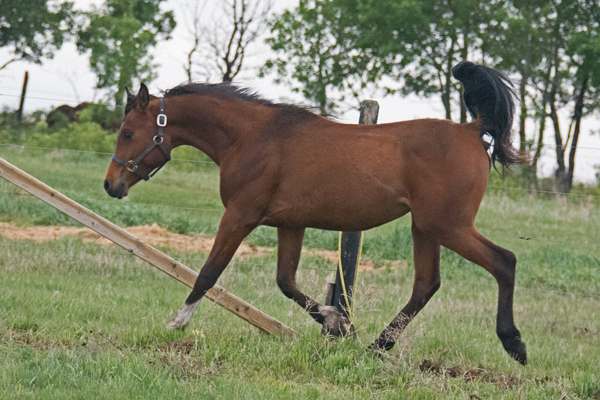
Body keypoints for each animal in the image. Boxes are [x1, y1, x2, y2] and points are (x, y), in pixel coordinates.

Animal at [105, 61, 528, 364]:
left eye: (127, 132)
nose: (111, 184)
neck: (251, 137)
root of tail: (472, 130)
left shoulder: (240, 216)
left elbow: (209, 273)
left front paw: (177, 323)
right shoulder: (290, 224)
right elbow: (286, 282)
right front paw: (337, 324)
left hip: (447, 225)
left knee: (505, 261)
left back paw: (514, 344)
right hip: (426, 228)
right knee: (426, 285)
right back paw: (376, 347)